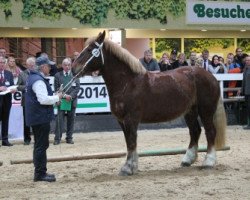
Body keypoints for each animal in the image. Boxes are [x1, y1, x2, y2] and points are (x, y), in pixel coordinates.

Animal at [72, 30, 227, 176]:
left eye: (89, 49)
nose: (73, 69)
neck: (128, 83)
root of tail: (211, 76)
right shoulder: (122, 121)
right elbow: (129, 142)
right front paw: (132, 166)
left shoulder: (131, 119)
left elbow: (132, 141)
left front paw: (128, 168)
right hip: (190, 112)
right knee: (195, 131)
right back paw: (187, 160)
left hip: (206, 111)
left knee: (210, 132)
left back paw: (208, 162)